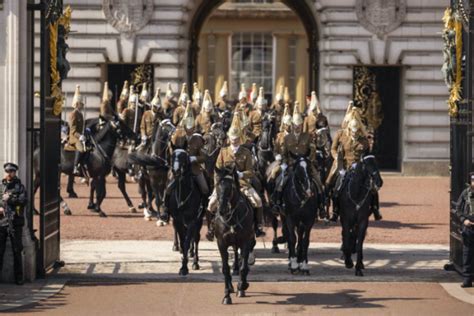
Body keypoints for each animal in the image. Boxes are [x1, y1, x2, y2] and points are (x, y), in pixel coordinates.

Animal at [215, 168, 256, 304]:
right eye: (217, 186)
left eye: (230, 188)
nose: (222, 210)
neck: (232, 217)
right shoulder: (221, 243)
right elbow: (225, 268)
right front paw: (227, 295)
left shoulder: (245, 242)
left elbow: (244, 267)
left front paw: (242, 286)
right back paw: (230, 286)